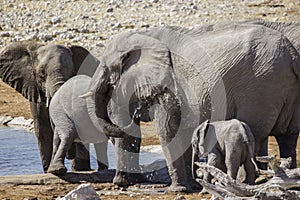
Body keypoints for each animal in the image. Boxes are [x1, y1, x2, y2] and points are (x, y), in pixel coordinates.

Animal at [82, 23, 300, 192]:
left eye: (107, 72)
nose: (119, 184)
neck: (144, 35)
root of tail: (292, 54)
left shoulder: (166, 85)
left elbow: (168, 131)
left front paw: (177, 189)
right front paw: (190, 186)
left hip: (260, 87)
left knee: (257, 131)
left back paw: (242, 183)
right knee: (288, 137)